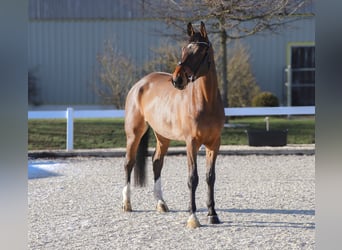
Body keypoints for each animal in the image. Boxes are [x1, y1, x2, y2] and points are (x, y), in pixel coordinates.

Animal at [121, 21, 226, 229]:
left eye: (200, 51)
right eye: (184, 49)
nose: (177, 79)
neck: (206, 102)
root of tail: (140, 84)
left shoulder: (214, 144)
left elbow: (210, 177)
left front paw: (212, 214)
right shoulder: (191, 143)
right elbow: (193, 178)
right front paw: (193, 217)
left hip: (163, 136)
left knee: (156, 162)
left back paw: (161, 204)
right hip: (134, 133)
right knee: (129, 163)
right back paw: (127, 203)